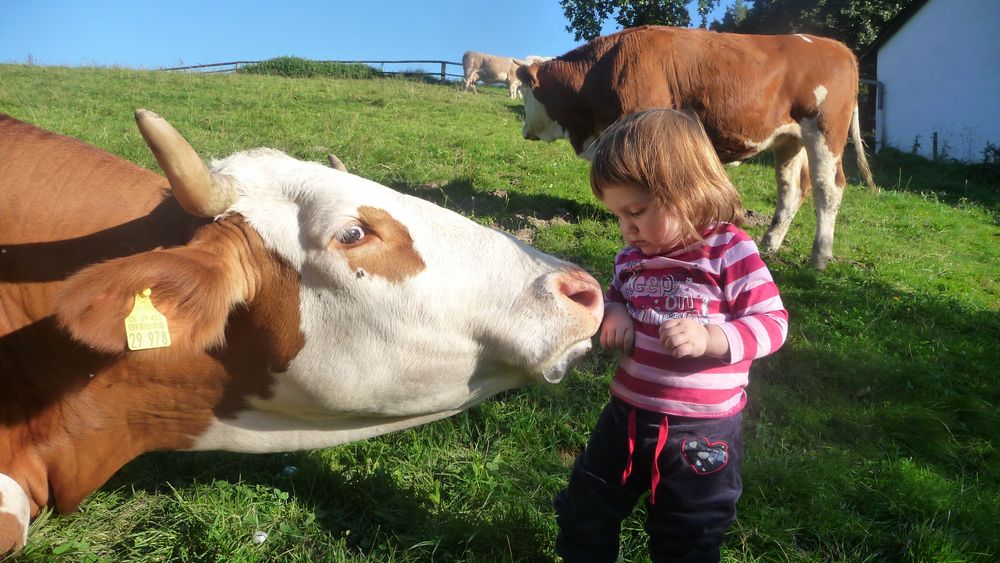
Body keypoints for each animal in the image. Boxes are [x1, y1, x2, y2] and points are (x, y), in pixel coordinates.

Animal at [516, 27, 876, 270]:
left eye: (524, 89)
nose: (524, 131)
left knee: (828, 188)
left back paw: (820, 256)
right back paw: (770, 244)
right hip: (789, 139)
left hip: (825, 132)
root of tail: (836, 46)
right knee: (791, 189)